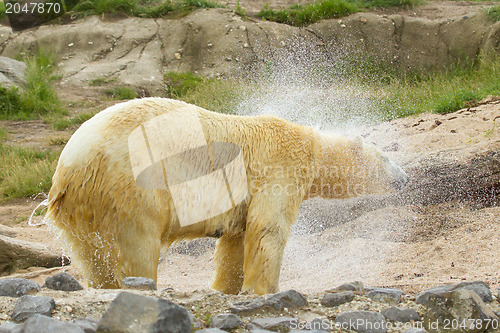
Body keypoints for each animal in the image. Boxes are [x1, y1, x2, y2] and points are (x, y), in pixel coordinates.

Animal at [45, 97, 408, 294]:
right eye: (387, 157)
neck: (312, 146)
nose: (405, 179)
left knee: (93, 255)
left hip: (84, 209)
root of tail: (69, 165)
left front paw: (226, 287)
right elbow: (268, 228)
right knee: (136, 246)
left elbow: (237, 239)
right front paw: (265, 289)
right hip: (131, 187)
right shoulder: (279, 168)